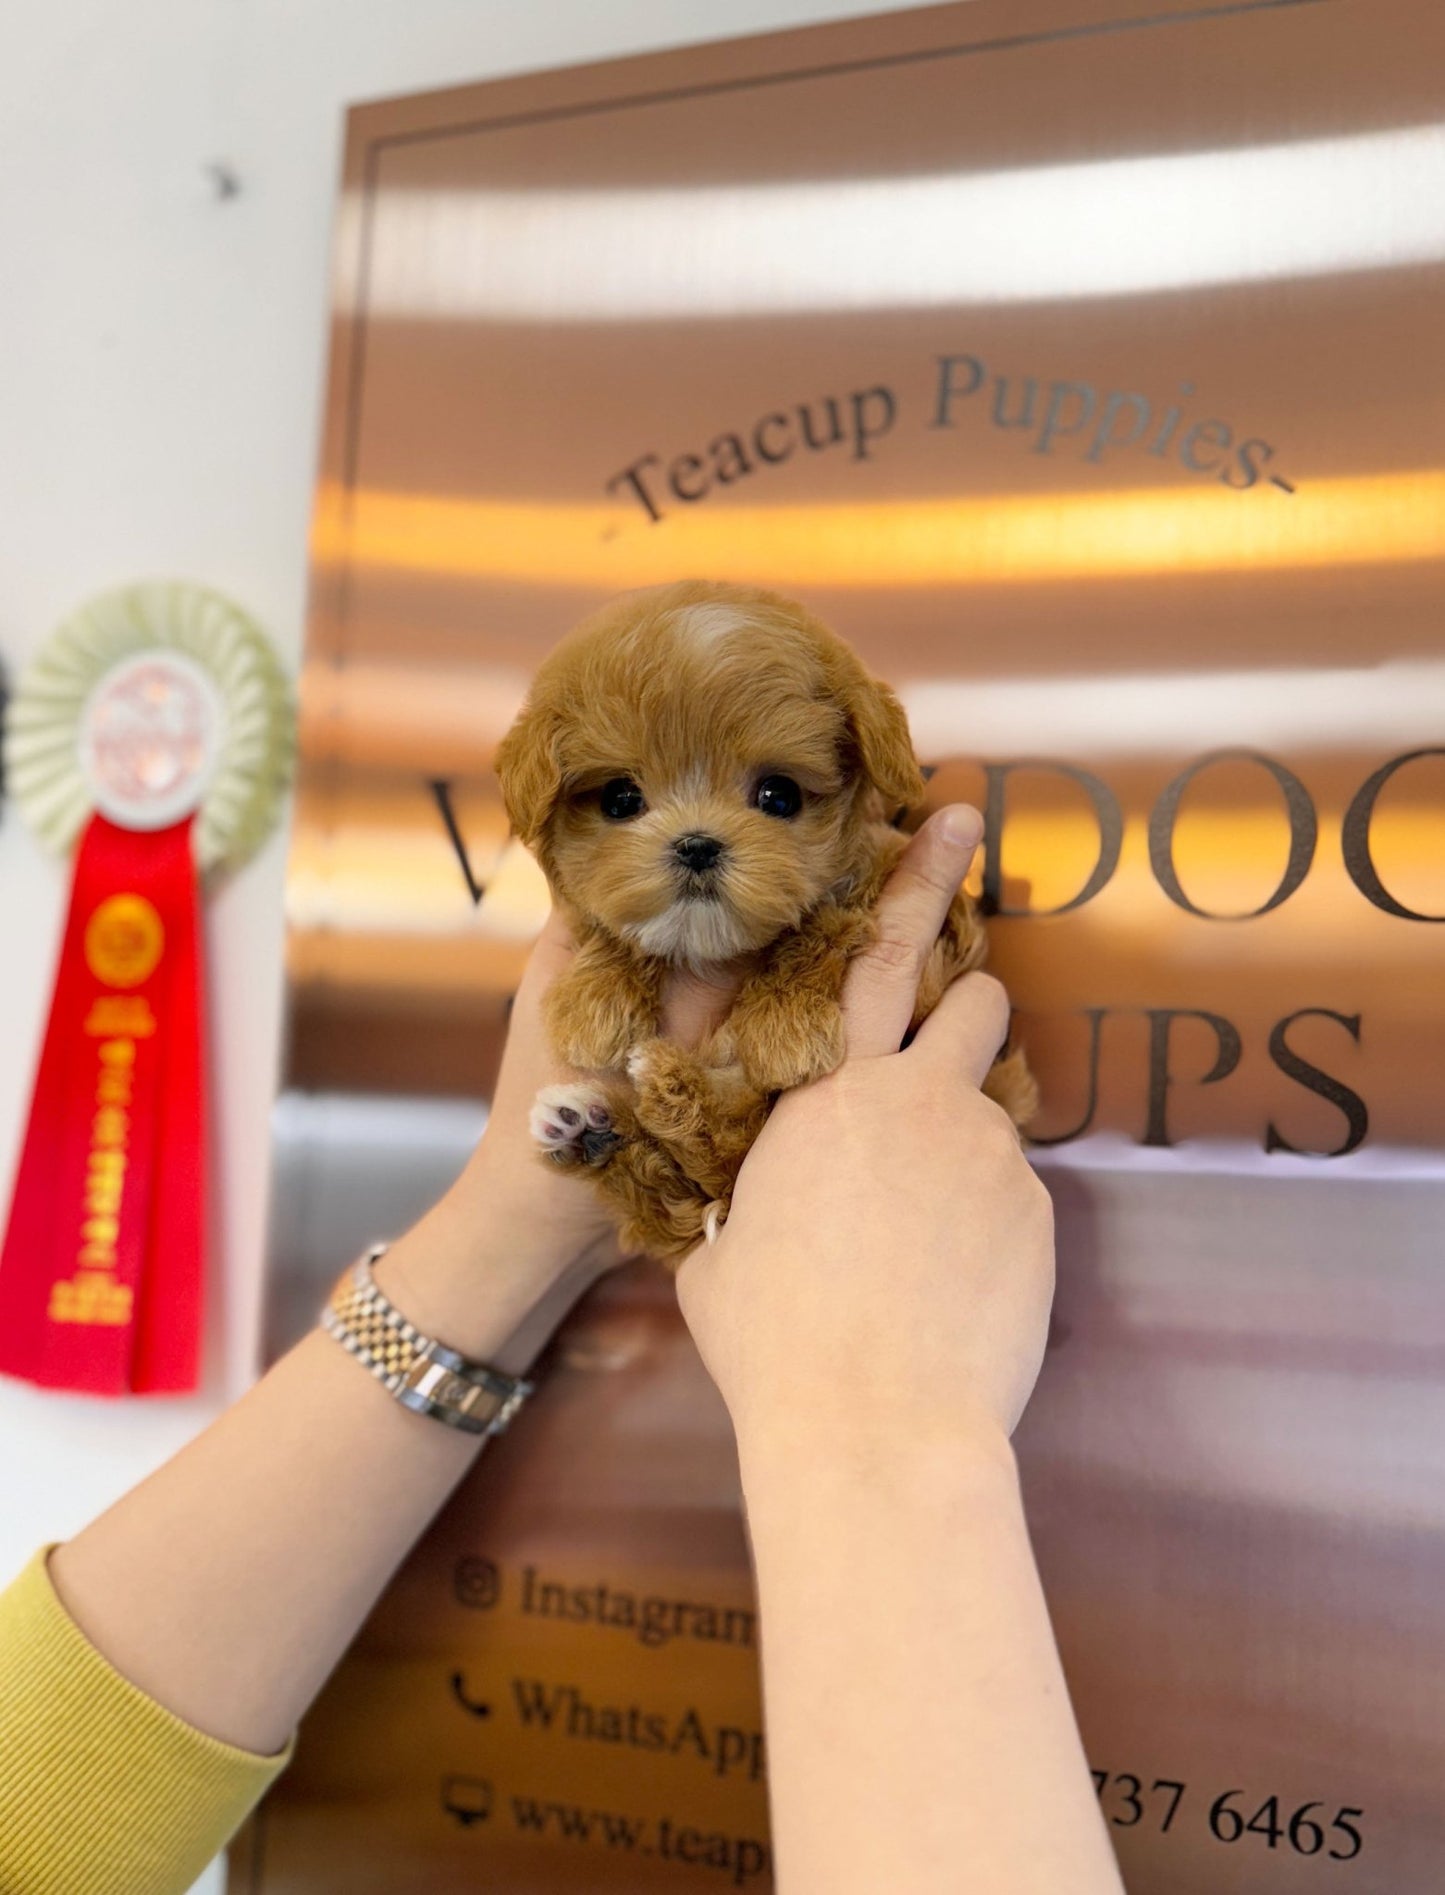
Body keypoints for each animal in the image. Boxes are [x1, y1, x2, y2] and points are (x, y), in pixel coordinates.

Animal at [496, 576, 1037, 1258]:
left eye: (779, 796)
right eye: (620, 798)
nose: (697, 844)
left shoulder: (886, 876)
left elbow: (822, 922)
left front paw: (785, 1028)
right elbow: (611, 923)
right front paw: (592, 1003)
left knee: (726, 1144)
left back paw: (656, 1087)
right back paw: (588, 1131)